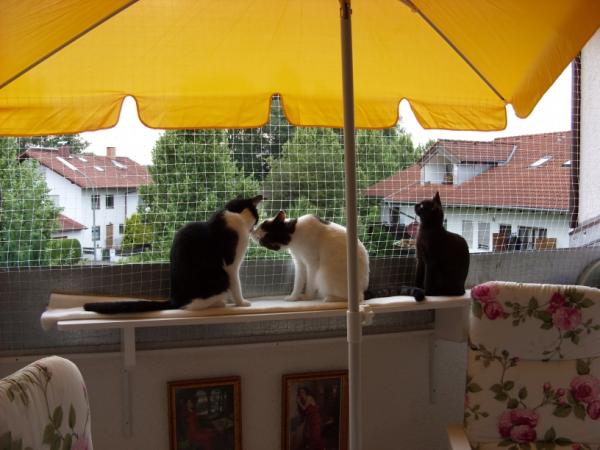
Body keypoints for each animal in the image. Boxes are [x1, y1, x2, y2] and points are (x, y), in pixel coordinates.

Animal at [84, 195, 263, 314]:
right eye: (256, 216)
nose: (255, 227)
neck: (233, 214)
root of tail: (174, 300)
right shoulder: (231, 265)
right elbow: (236, 285)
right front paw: (241, 303)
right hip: (220, 278)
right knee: (191, 305)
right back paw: (220, 303)